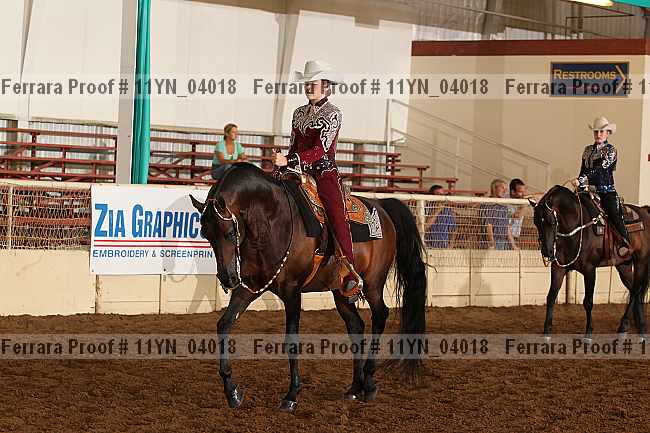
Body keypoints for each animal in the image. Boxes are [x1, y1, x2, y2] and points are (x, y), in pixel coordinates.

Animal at [189, 163, 427, 412]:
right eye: (206, 234)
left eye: (229, 233)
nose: (227, 278)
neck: (271, 218)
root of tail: (381, 206)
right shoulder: (250, 288)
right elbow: (224, 325)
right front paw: (232, 391)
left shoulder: (292, 291)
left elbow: (292, 341)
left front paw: (292, 395)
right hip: (341, 291)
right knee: (356, 325)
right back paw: (355, 387)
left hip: (373, 284)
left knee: (380, 316)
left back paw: (369, 383)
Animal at [531, 185, 650, 340]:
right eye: (536, 222)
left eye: (550, 222)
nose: (547, 252)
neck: (576, 226)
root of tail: (645, 211)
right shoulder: (558, 268)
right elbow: (551, 297)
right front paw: (546, 331)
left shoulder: (589, 270)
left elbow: (588, 302)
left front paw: (588, 333)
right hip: (624, 265)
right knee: (635, 292)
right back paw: (640, 329)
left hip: (641, 261)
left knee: (636, 291)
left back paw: (623, 326)